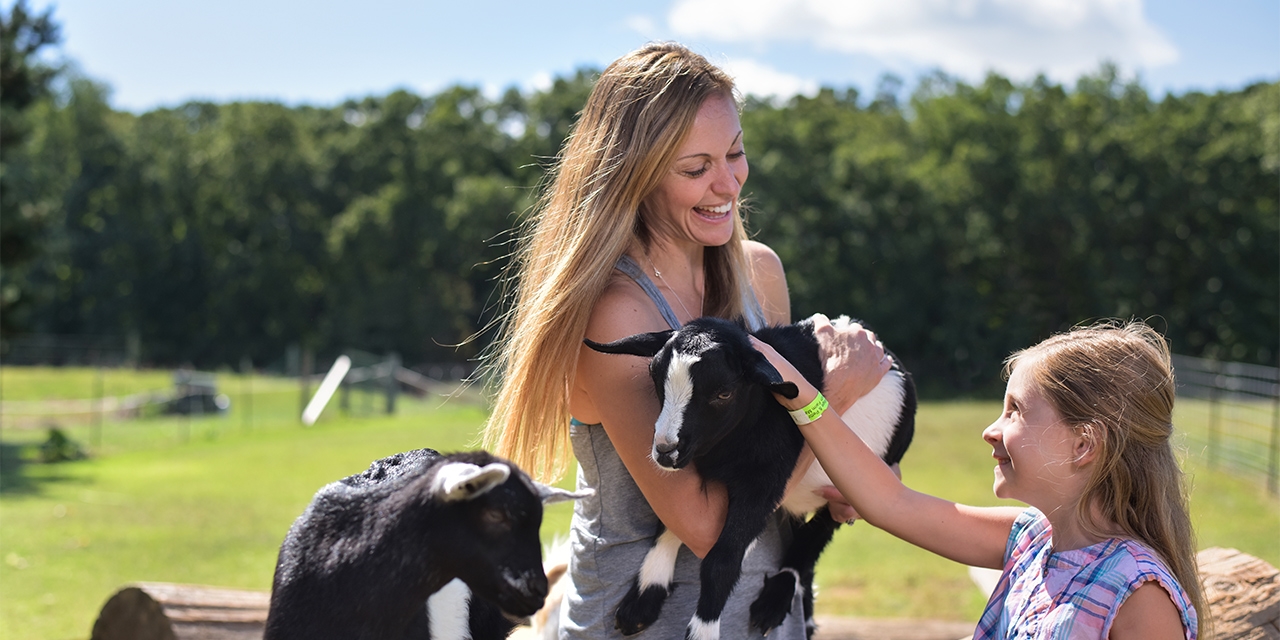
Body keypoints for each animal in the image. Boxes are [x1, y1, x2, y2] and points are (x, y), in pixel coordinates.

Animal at [585, 314, 915, 640]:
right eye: (654, 377)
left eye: (724, 393)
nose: (666, 450)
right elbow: (670, 525)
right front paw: (642, 600)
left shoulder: (765, 482)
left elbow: (722, 561)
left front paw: (703, 630)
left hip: (850, 491)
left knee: (813, 539)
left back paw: (774, 602)